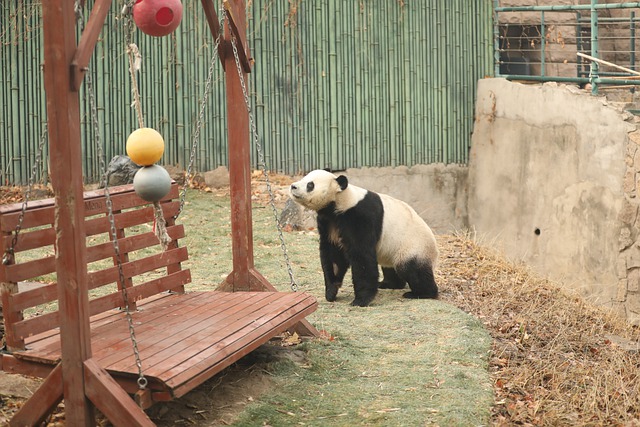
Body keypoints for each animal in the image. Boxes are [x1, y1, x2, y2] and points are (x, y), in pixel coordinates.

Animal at [290, 171, 440, 308]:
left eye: (310, 185)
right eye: (304, 178)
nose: (293, 186)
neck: (340, 201)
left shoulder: (360, 217)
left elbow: (362, 256)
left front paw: (360, 300)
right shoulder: (328, 222)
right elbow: (333, 254)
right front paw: (331, 292)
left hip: (413, 246)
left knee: (411, 269)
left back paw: (421, 293)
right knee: (390, 267)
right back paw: (388, 284)